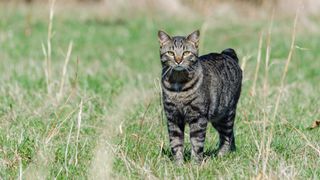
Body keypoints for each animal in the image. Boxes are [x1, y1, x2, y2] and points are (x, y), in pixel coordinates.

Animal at [158, 30, 242, 164]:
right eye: (170, 53)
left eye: (186, 53)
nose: (178, 60)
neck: (178, 85)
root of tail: (226, 54)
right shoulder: (173, 117)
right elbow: (176, 143)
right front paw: (178, 164)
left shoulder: (198, 117)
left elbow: (197, 143)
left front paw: (195, 164)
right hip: (216, 117)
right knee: (230, 135)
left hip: (226, 114)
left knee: (227, 136)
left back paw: (221, 155)